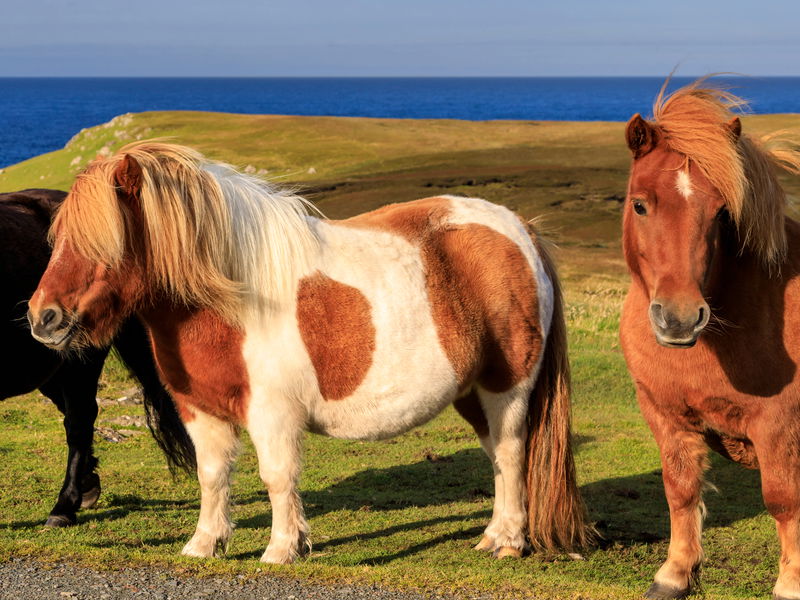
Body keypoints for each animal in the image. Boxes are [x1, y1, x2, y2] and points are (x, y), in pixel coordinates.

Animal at [28, 141, 592, 564]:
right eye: (59, 239)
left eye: (104, 240)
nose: (42, 318)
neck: (231, 301)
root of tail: (520, 229)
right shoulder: (201, 411)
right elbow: (213, 477)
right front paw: (204, 544)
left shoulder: (272, 413)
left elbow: (277, 477)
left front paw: (282, 549)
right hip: (471, 392)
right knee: (496, 456)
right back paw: (493, 535)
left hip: (507, 388)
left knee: (513, 452)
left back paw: (510, 543)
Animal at [620, 79, 800, 600]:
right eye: (640, 203)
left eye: (721, 213)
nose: (680, 319)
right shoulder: (666, 415)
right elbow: (680, 490)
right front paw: (675, 573)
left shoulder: (778, 426)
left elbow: (782, 500)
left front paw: (791, 582)